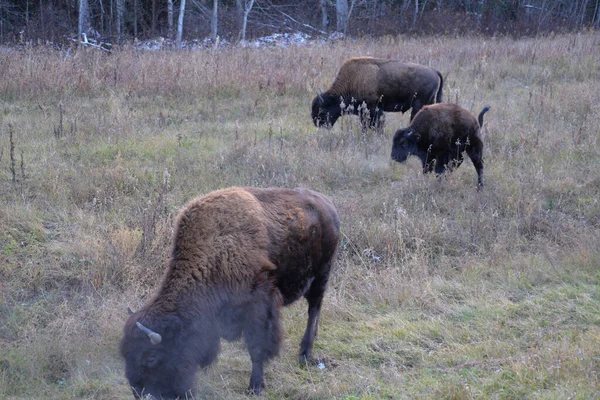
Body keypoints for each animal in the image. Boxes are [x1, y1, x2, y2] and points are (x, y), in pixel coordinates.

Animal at [119, 187, 340, 396]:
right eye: (126, 354)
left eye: (151, 357)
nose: (140, 393)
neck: (214, 253)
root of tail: (328, 205)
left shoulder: (260, 305)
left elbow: (257, 347)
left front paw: (255, 387)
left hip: (321, 275)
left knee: (314, 310)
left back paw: (305, 354)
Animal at [312, 57, 442, 130]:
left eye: (322, 109)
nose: (317, 123)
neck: (352, 81)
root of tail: (434, 70)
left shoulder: (374, 109)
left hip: (418, 105)